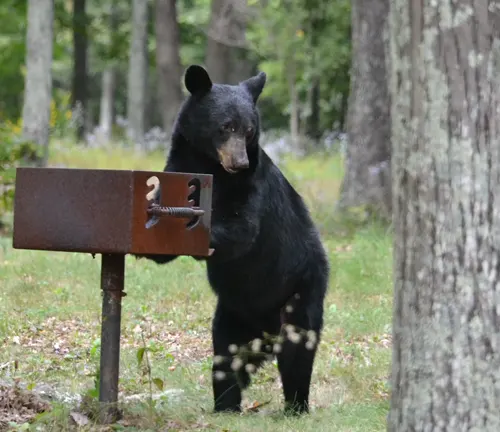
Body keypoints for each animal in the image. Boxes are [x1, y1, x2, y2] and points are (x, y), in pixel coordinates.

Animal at [140, 65, 328, 416]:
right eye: (226, 126)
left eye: (250, 129)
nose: (239, 162)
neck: (209, 165)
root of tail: (264, 329)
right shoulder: (179, 166)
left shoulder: (251, 185)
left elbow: (243, 228)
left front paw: (196, 226)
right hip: (232, 313)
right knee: (226, 356)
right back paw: (226, 404)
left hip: (302, 287)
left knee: (297, 350)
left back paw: (295, 406)